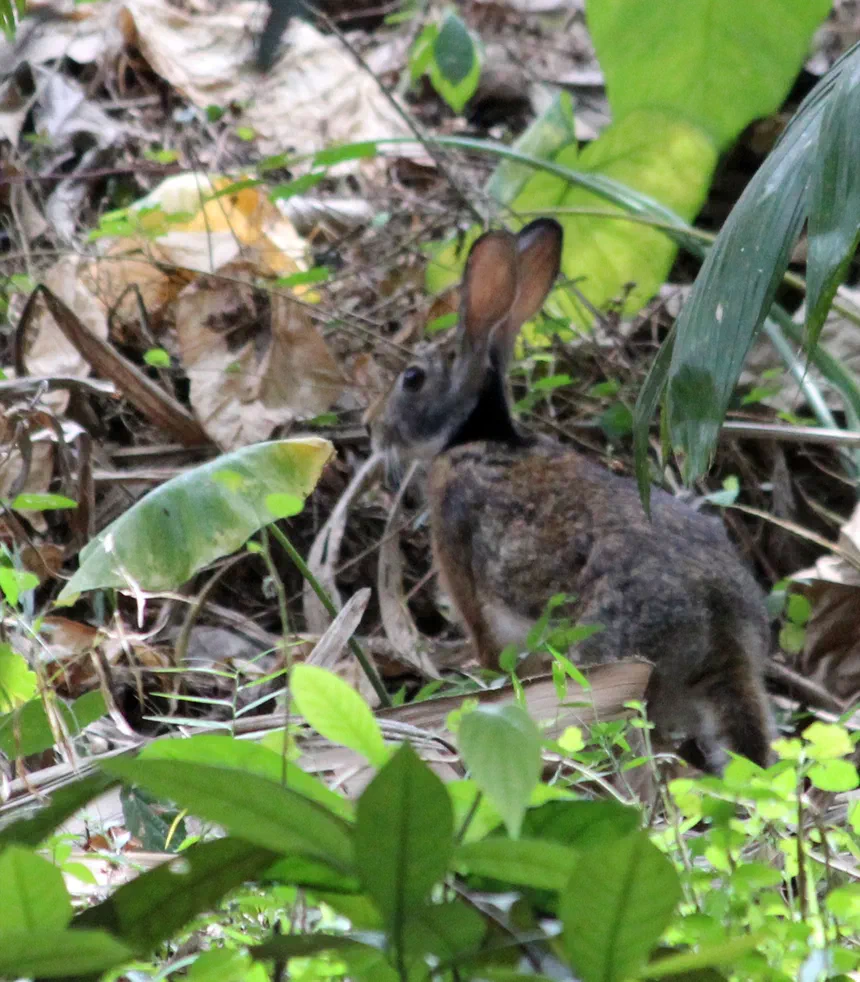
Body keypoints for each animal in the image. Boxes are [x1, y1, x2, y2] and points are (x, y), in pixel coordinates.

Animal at [373, 217, 774, 773]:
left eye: (411, 380)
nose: (373, 428)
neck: (475, 436)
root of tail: (721, 625)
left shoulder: (464, 572)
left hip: (614, 662)